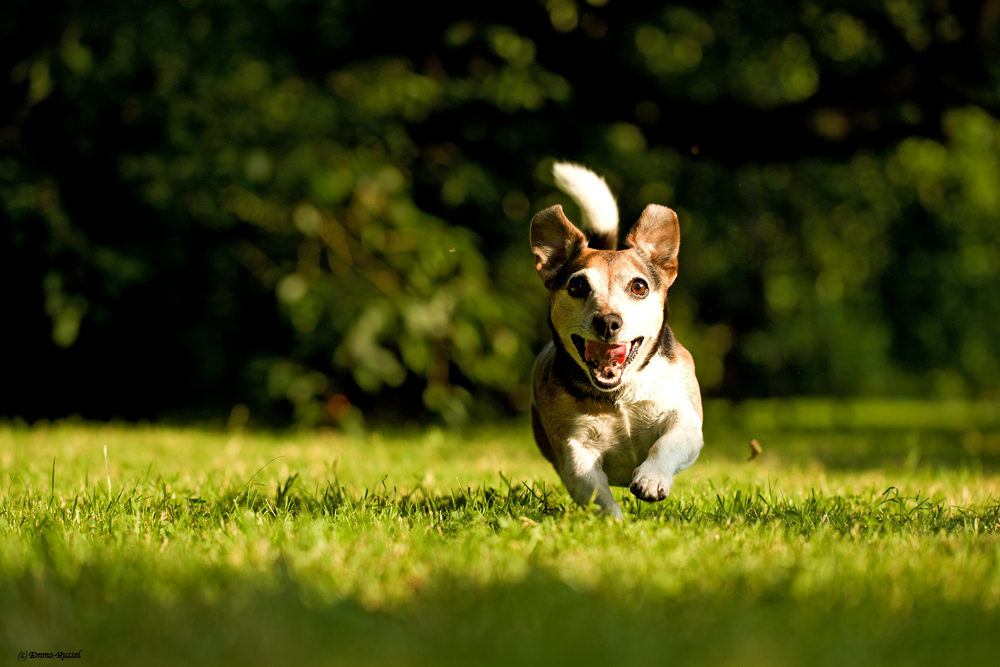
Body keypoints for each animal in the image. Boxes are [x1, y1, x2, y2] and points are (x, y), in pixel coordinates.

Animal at [532, 163, 704, 520]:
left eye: (639, 286)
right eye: (578, 286)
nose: (608, 321)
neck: (620, 393)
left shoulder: (686, 420)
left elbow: (668, 441)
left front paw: (652, 478)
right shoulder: (574, 449)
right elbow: (593, 486)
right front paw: (615, 523)